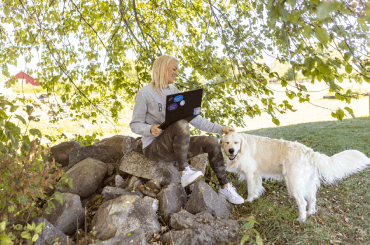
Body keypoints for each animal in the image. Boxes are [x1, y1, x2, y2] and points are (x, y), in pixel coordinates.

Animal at [220, 132, 370, 222]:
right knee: (313, 199)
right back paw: (311, 213)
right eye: (227, 143)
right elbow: (257, 187)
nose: (231, 151)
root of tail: (310, 152)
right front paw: (256, 197)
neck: (241, 150)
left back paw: (301, 219)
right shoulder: (256, 174)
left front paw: (249, 201)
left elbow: (251, 190)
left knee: (302, 202)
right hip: (307, 183)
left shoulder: (250, 173)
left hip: (293, 184)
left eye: (236, 143)